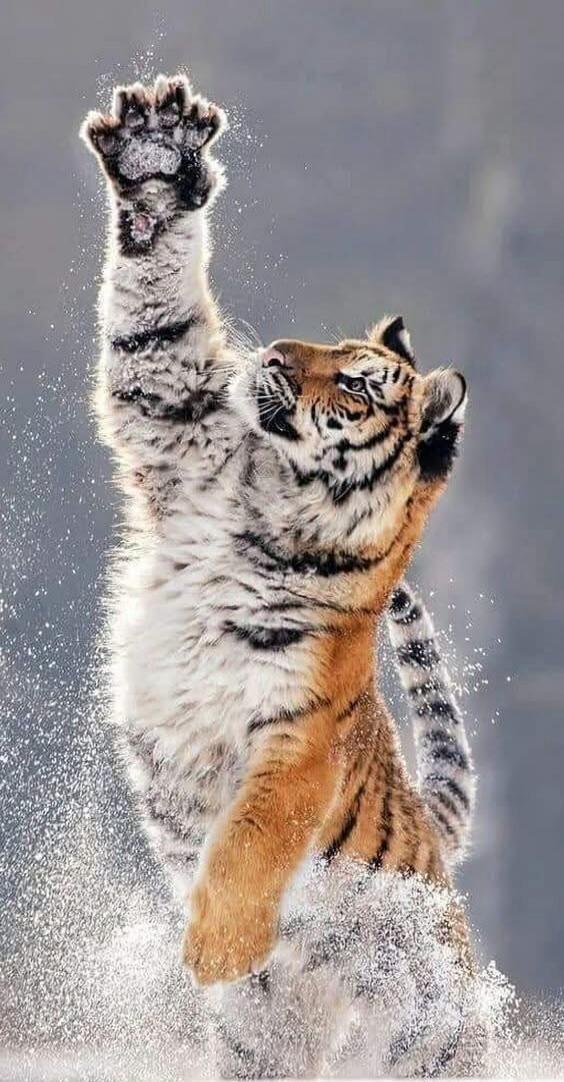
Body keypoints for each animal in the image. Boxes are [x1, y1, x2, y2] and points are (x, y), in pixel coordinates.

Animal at [80, 71, 480, 1075]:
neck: (269, 507)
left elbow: (252, 838)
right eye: (330, 348)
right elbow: (156, 326)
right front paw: (156, 152)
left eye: (359, 382)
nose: (271, 356)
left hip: (430, 1030)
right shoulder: (173, 415)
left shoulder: (295, 739)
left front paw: (215, 949)